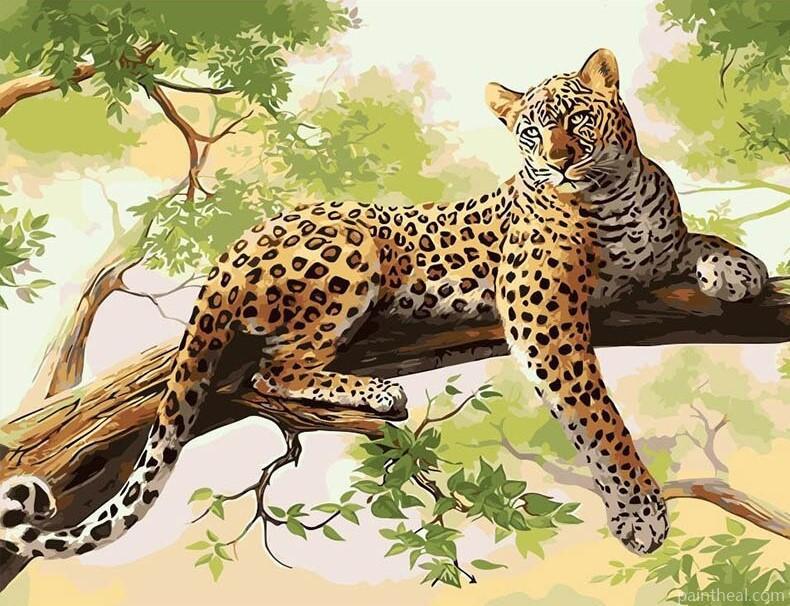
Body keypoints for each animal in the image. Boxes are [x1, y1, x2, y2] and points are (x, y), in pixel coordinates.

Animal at [0, 49, 768, 561]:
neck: (613, 193)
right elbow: (596, 415)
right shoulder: (540, 308)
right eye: (530, 132)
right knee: (275, 369)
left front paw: (740, 266)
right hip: (352, 251)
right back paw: (376, 393)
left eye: (578, 117)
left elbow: (691, 238)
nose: (559, 162)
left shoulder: (652, 249)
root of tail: (236, 243)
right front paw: (638, 511)